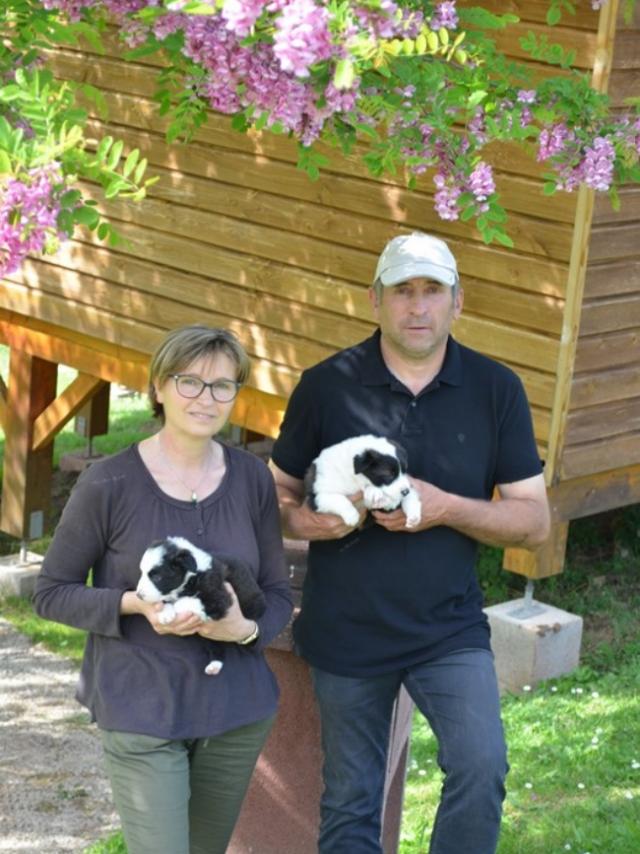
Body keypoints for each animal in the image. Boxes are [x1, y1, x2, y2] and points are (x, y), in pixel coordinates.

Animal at [136, 540, 266, 676]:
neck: (193, 575)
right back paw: (215, 665)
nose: (138, 595)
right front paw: (165, 611)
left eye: (157, 577)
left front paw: (166, 613)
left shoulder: (218, 599)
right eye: (142, 573)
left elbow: (186, 602)